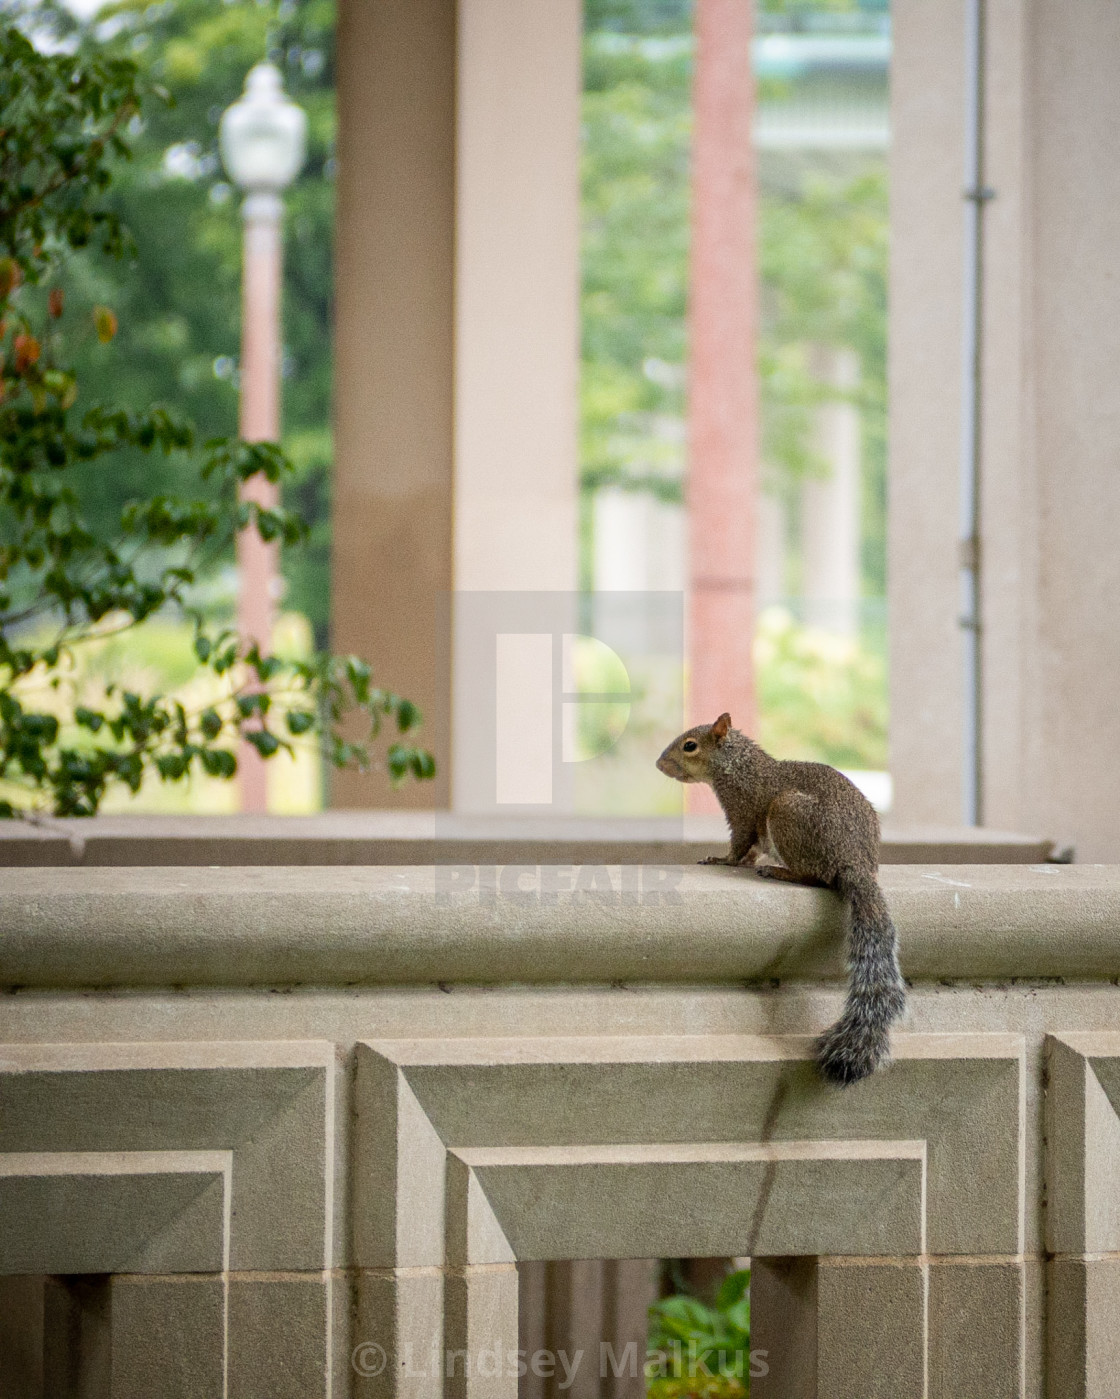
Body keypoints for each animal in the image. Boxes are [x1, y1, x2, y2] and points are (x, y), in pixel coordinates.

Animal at [651, 716, 906, 1085]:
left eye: (689, 746)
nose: (660, 764)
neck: (738, 766)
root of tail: (856, 864)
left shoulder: (743, 810)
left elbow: (740, 843)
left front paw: (722, 860)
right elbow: (752, 848)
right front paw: (740, 862)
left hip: (787, 814)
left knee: (817, 878)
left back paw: (779, 871)